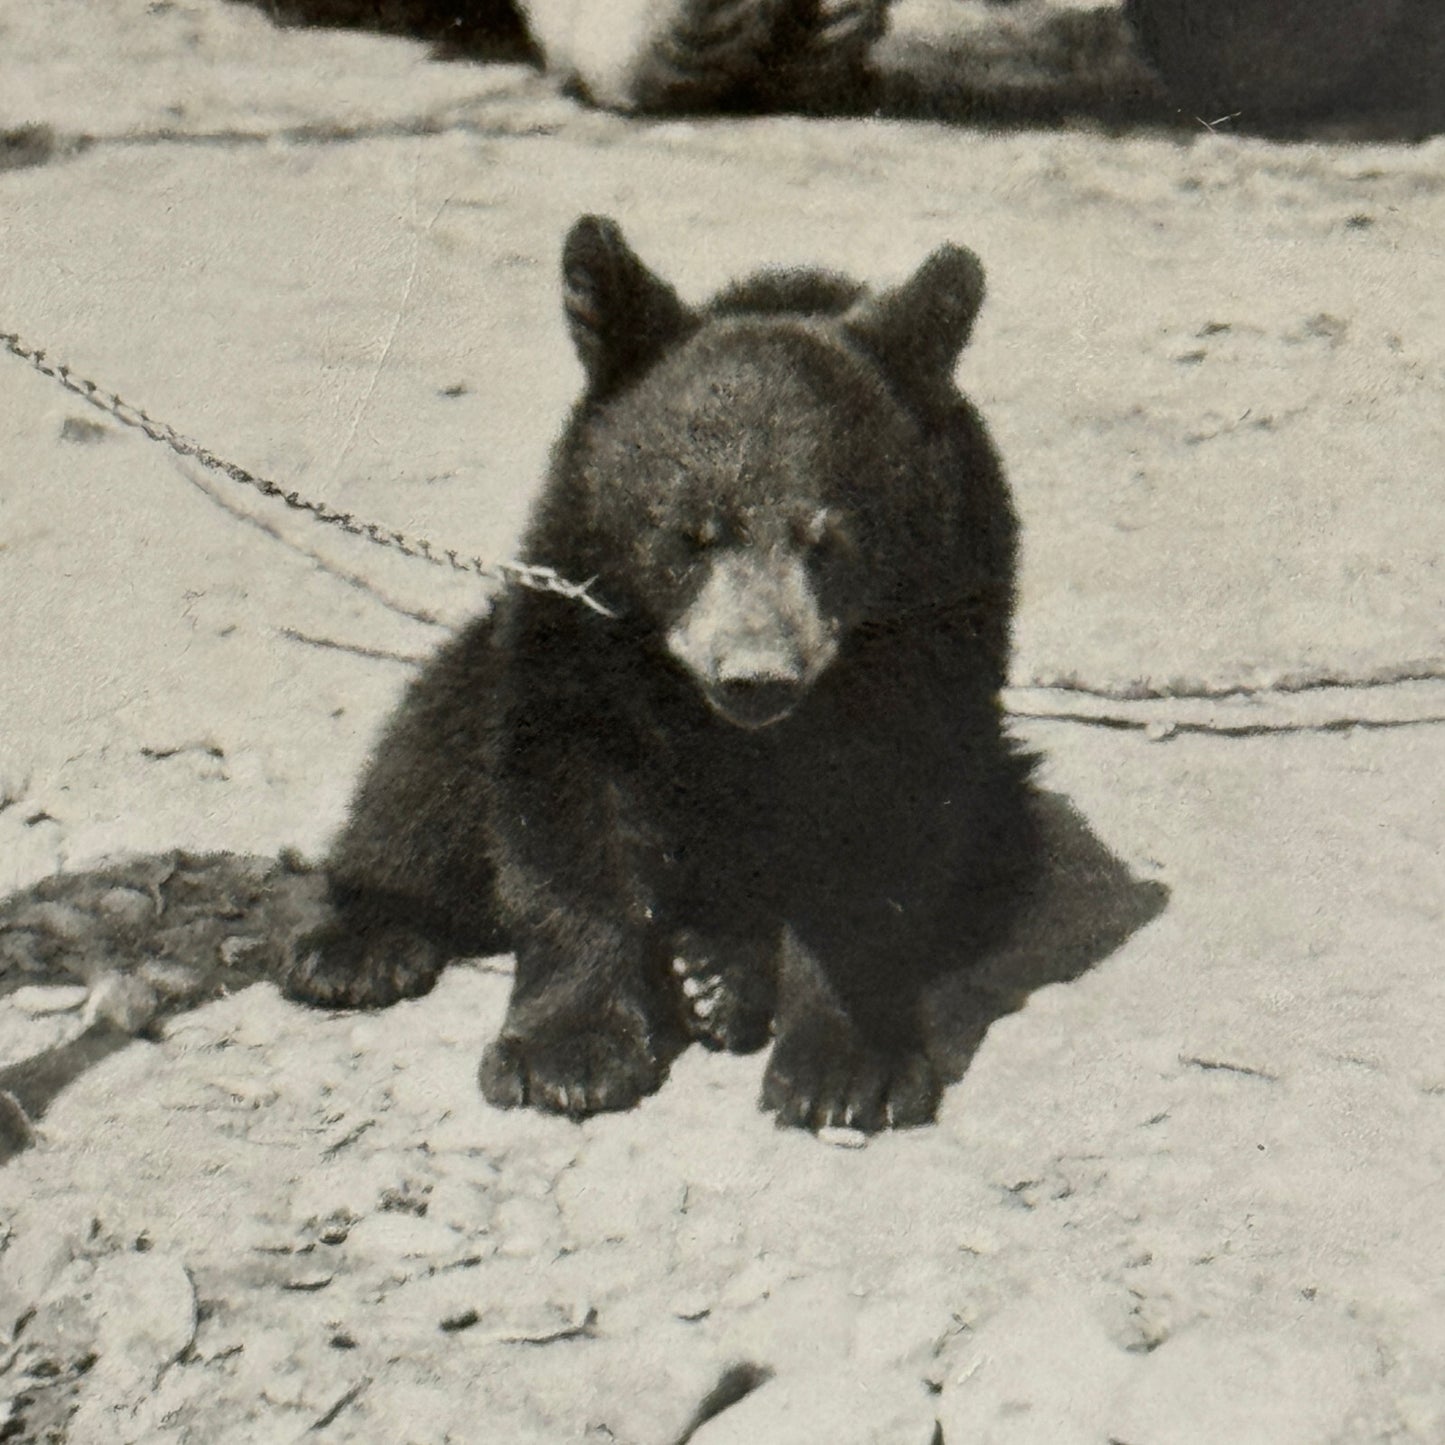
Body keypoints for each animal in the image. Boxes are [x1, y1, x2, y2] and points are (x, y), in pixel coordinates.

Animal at [282, 215, 1038, 1133]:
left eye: (827, 540)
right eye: (688, 535)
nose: (756, 677)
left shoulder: (939, 618)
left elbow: (887, 824)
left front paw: (848, 1068)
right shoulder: (581, 592)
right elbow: (567, 798)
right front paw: (566, 1051)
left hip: (1003, 791)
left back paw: (721, 975)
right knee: (425, 754)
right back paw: (360, 943)